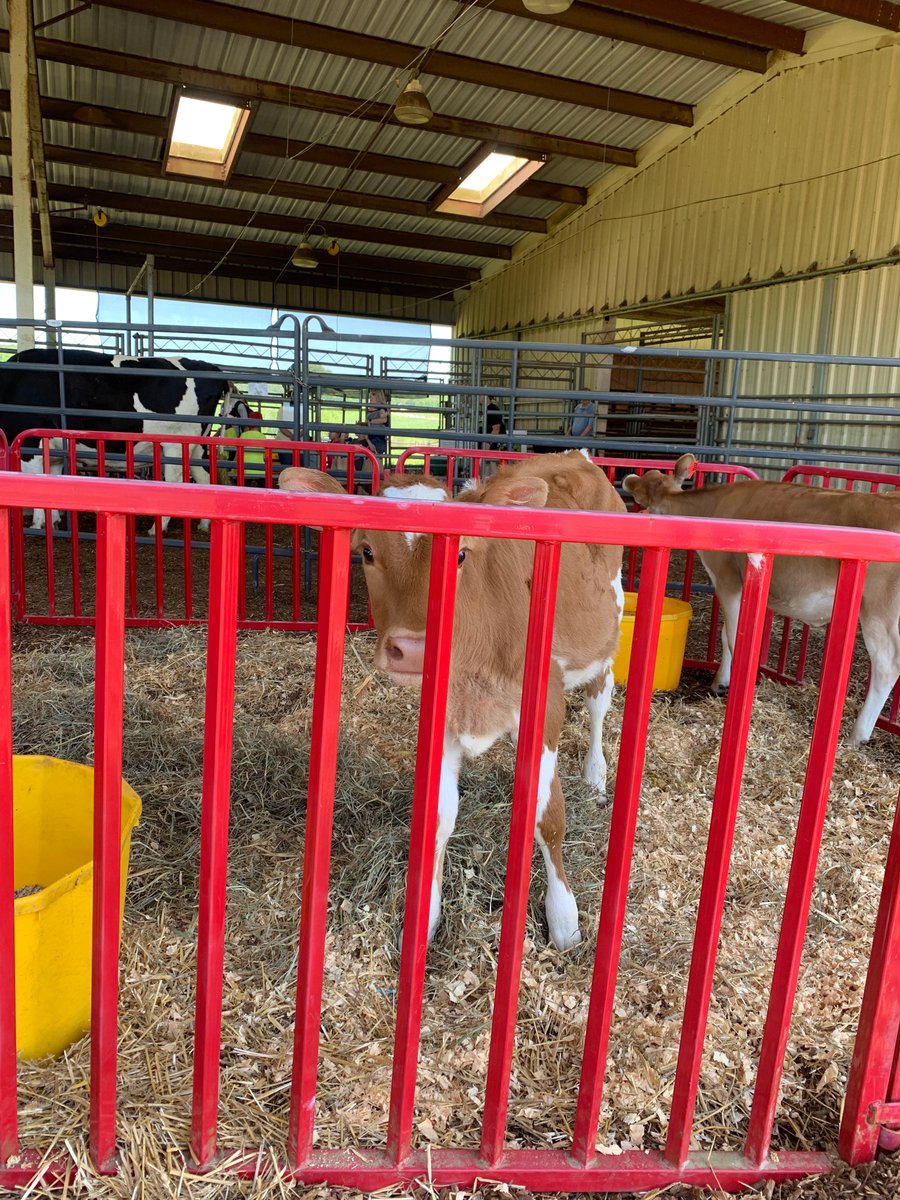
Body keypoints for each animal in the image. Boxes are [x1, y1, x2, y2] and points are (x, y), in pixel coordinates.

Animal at [0, 350, 240, 532]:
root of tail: (209, 367)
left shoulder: (29, 441)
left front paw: (37, 525)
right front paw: (54, 521)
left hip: (175, 444)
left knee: (177, 482)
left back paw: (156, 529)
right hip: (198, 446)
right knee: (204, 477)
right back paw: (205, 525)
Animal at [283, 453, 628, 950]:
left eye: (461, 554)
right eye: (366, 552)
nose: (412, 649)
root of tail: (571, 456)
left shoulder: (546, 707)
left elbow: (548, 817)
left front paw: (564, 919)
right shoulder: (444, 714)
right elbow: (439, 817)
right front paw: (424, 918)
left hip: (604, 638)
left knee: (600, 700)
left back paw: (596, 776)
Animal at [624, 453, 900, 744]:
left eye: (640, 499)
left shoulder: (727, 578)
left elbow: (734, 637)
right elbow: (726, 633)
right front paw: (720, 682)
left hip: (878, 608)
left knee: (887, 665)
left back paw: (857, 736)